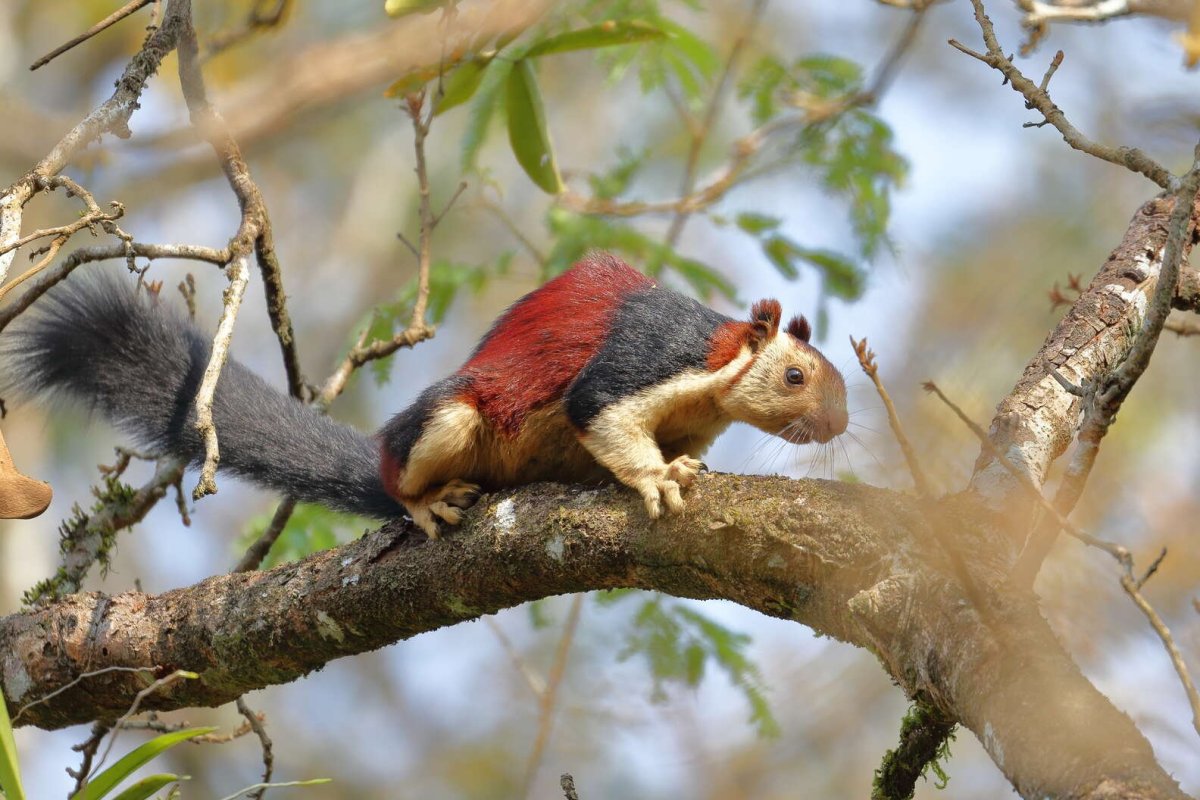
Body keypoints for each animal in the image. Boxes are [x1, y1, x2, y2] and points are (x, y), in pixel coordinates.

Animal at [5, 253, 847, 538]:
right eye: (795, 374)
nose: (840, 422)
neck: (713, 378)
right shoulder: (645, 358)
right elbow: (598, 410)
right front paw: (658, 477)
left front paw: (687, 468)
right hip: (445, 422)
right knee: (408, 471)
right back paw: (425, 502)